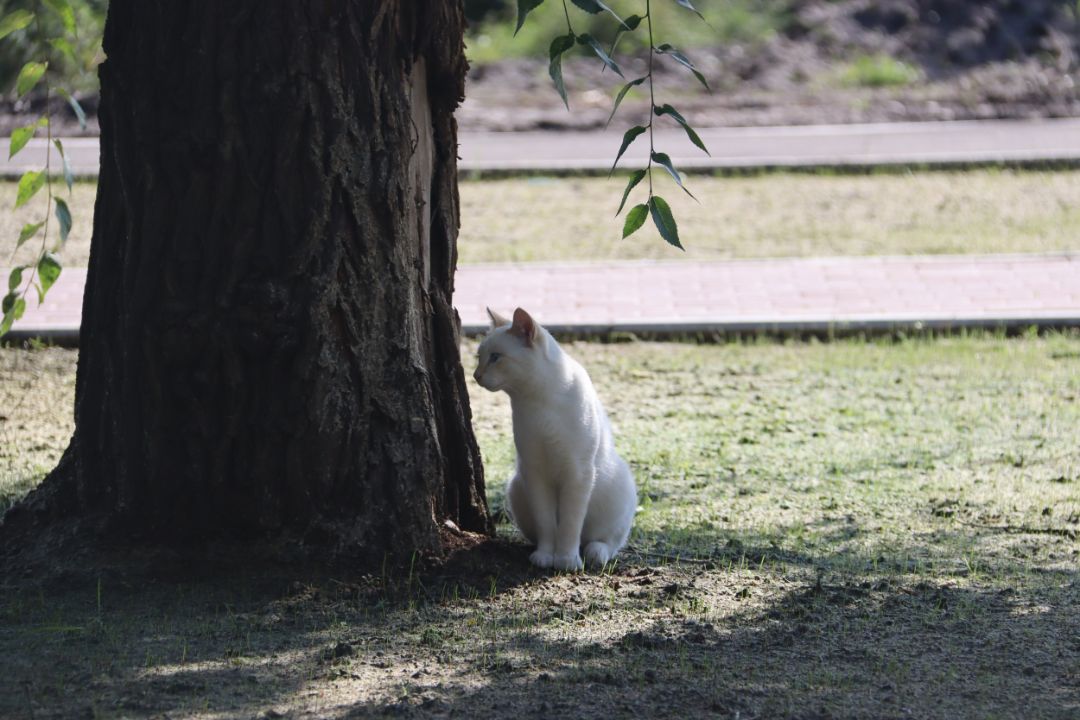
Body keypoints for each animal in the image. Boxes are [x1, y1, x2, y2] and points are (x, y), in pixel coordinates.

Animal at [470, 306, 630, 569]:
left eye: (495, 357)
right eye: (479, 357)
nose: (476, 375)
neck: (536, 402)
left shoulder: (577, 474)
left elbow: (569, 525)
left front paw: (566, 561)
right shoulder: (535, 473)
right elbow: (547, 524)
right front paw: (546, 557)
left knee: (602, 541)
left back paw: (594, 553)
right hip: (517, 486)